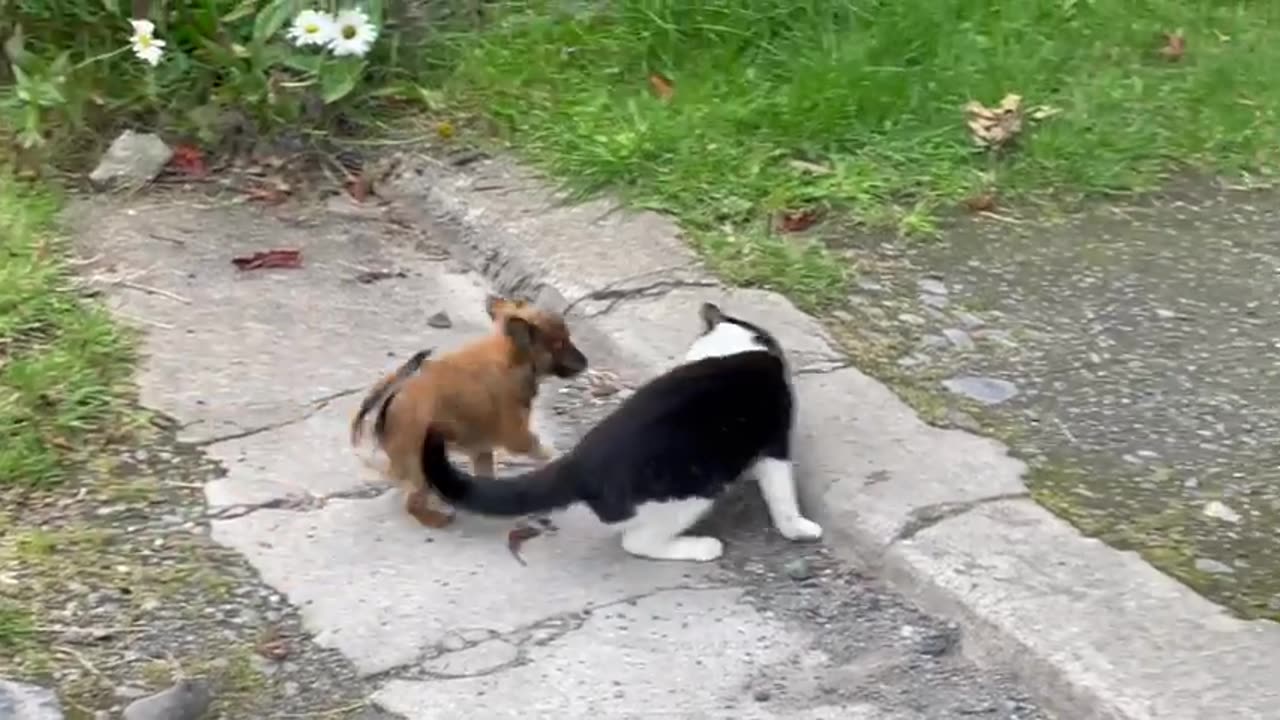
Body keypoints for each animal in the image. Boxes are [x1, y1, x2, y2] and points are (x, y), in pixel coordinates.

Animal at [350, 294, 588, 525]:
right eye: (559, 344)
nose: (586, 361)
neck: (512, 358)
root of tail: (393, 392)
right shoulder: (516, 436)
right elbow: (540, 448)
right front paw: (557, 455)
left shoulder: (483, 449)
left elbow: (486, 473)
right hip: (418, 462)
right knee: (413, 504)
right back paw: (436, 519)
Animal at [414, 299, 824, 558]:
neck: (732, 349)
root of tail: (576, 463)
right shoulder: (775, 441)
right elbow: (783, 495)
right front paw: (799, 528)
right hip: (691, 490)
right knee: (638, 542)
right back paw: (700, 547)